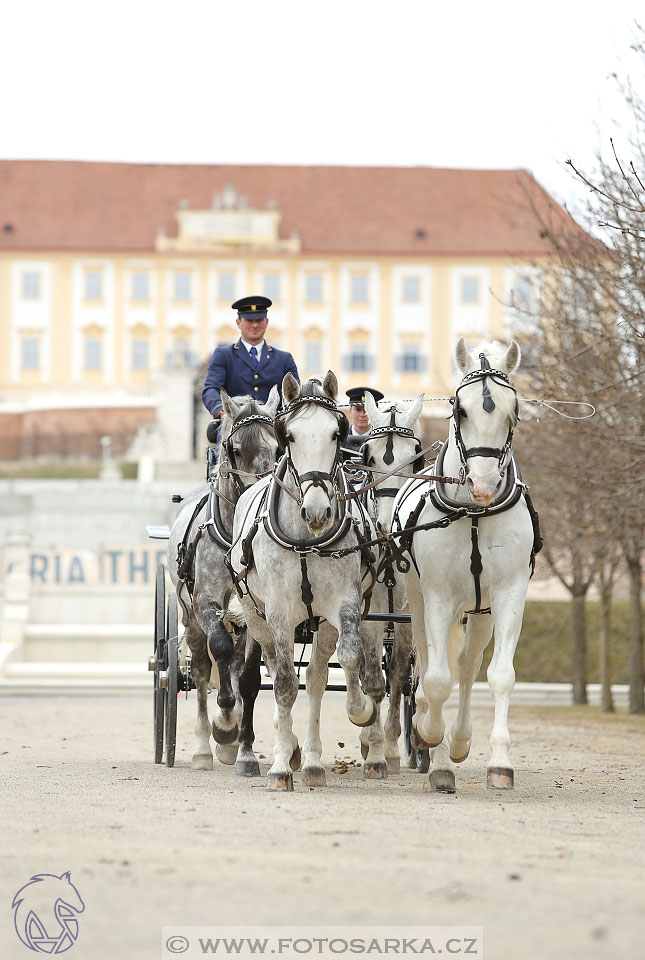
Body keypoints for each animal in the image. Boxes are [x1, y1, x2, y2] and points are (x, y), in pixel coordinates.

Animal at [394, 342, 536, 792]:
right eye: (460, 410)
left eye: (513, 410)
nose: (483, 485)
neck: (474, 513)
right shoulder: (438, 597)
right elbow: (437, 680)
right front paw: (431, 740)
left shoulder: (509, 595)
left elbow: (499, 675)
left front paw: (500, 763)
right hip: (418, 600)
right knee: (428, 663)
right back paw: (430, 733)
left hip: (480, 611)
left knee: (468, 666)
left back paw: (458, 739)